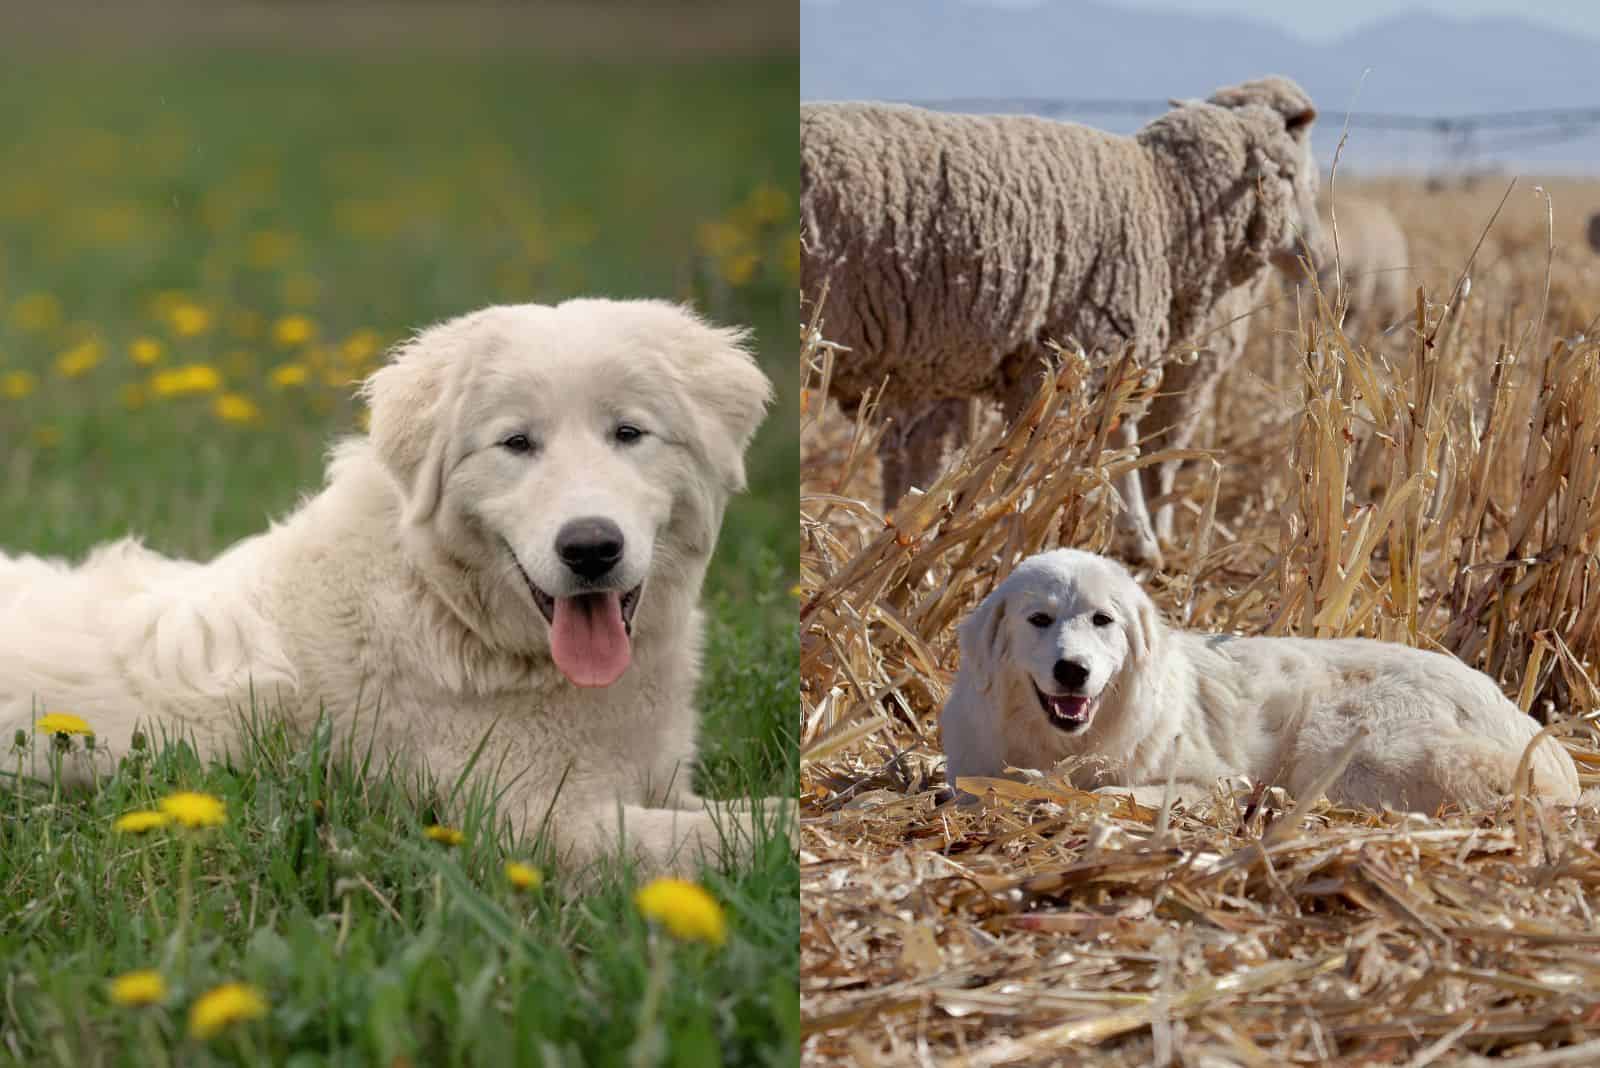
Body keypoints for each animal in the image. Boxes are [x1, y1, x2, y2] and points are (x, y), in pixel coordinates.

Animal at [0, 298, 787, 876]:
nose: (590, 547)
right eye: (516, 444)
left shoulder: (659, 786)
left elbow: (741, 813)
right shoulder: (537, 822)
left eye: (628, 433)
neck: (446, 604)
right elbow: (722, 839)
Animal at [806, 78, 1318, 562]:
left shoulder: (945, 373)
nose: (1312, 257)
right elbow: (1109, 442)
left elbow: (927, 467)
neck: (1167, 200)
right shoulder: (1093, 344)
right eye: (1296, 173)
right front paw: (1135, 543)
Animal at [940, 549, 1580, 808]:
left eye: (1103, 620)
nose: (1073, 671)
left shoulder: (1214, 778)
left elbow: (1112, 793)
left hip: (1352, 750)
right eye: (1039, 619)